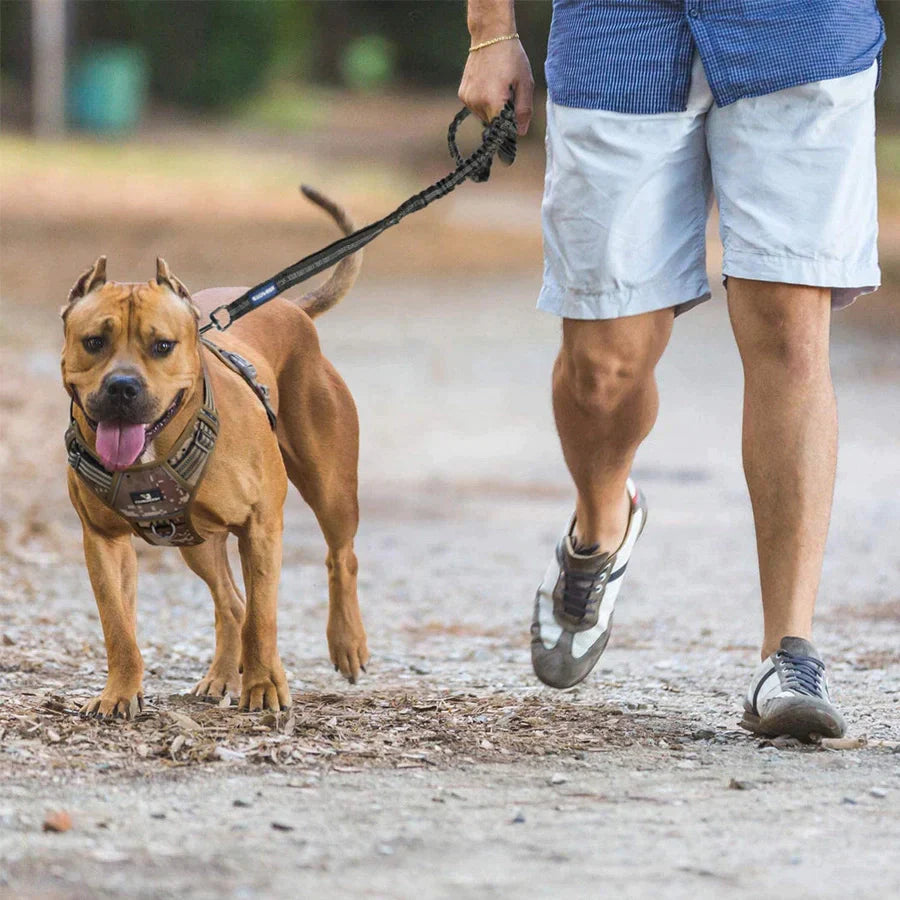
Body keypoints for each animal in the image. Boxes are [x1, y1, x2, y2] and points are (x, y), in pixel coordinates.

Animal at [62, 188, 370, 716]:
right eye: (94, 342)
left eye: (163, 345)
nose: (122, 387)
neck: (156, 451)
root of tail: (292, 309)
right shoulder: (103, 541)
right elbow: (117, 625)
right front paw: (119, 692)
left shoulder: (261, 526)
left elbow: (265, 617)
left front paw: (263, 687)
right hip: (198, 543)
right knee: (232, 604)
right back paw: (222, 676)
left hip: (330, 489)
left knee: (339, 558)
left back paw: (346, 642)